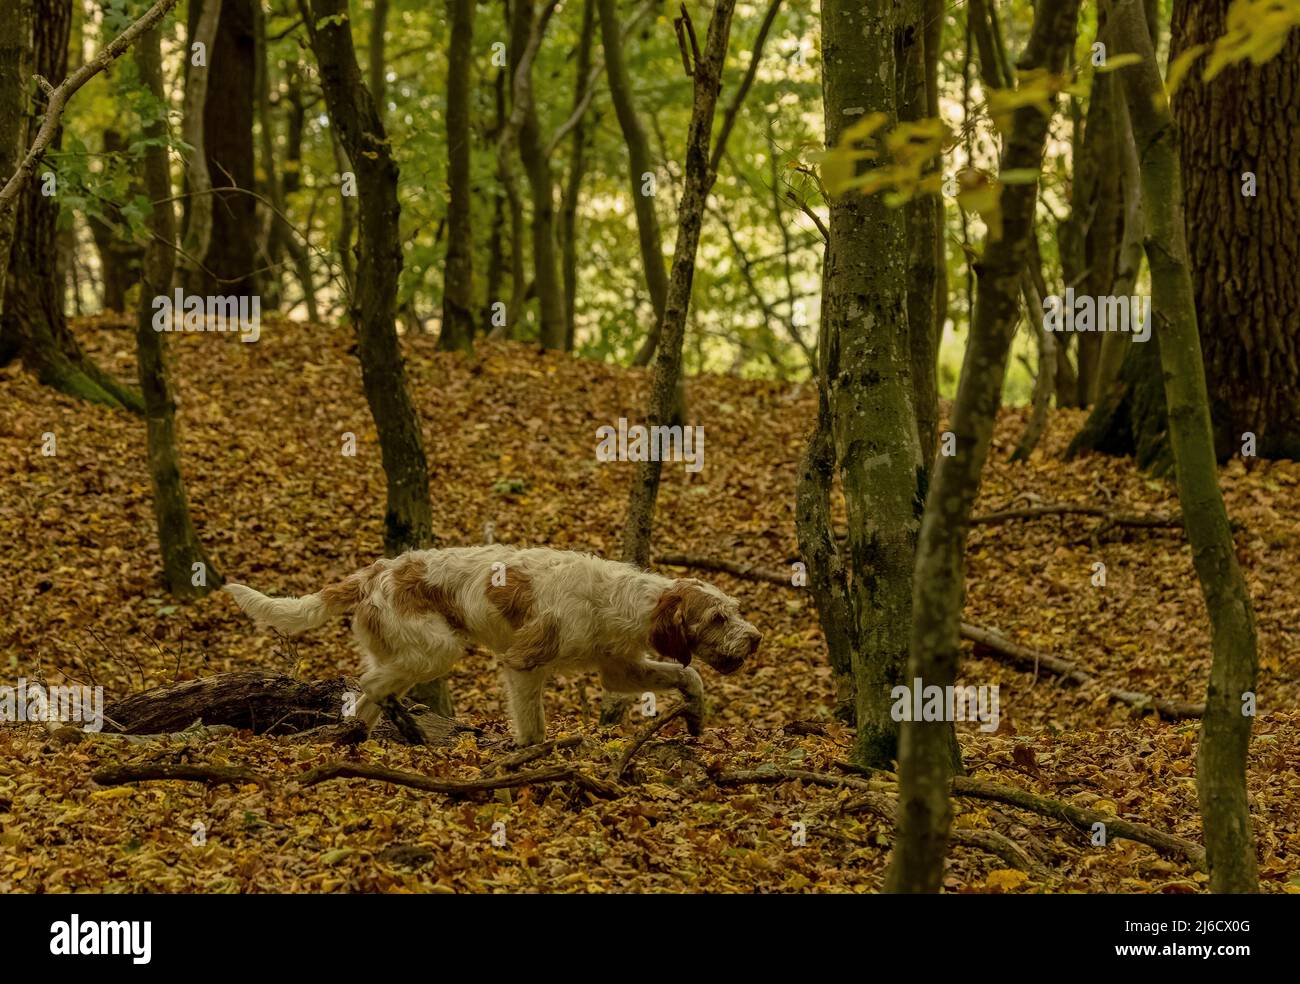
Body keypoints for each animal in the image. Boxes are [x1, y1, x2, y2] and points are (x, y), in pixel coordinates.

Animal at [222, 545, 759, 743]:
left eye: (735, 609)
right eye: (717, 618)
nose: (755, 639)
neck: (620, 599)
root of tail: (374, 571)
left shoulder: (620, 670)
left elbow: (688, 673)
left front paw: (696, 714)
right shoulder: (523, 663)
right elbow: (533, 729)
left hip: (406, 651)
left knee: (369, 694)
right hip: (435, 649)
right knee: (365, 686)